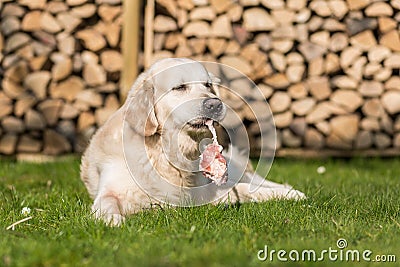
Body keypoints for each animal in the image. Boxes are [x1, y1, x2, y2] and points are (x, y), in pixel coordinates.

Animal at [79, 58, 304, 226]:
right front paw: (112, 220)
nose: (215, 104)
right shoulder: (111, 189)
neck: (166, 154)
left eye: (208, 85)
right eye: (179, 87)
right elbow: (107, 202)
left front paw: (290, 194)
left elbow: (244, 190)